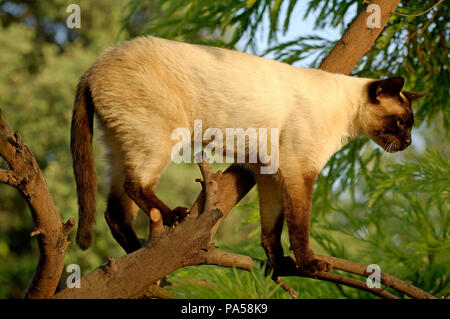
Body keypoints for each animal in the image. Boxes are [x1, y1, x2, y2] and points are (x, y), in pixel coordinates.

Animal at [70, 35, 426, 276]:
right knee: (135, 185)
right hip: (159, 139)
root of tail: (94, 66)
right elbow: (299, 226)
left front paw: (279, 263)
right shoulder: (298, 172)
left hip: (121, 145)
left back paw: (140, 266)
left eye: (410, 125)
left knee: (115, 211)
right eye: (400, 123)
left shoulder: (269, 172)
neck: (346, 114)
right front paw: (309, 264)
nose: (409, 142)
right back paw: (172, 217)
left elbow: (272, 227)